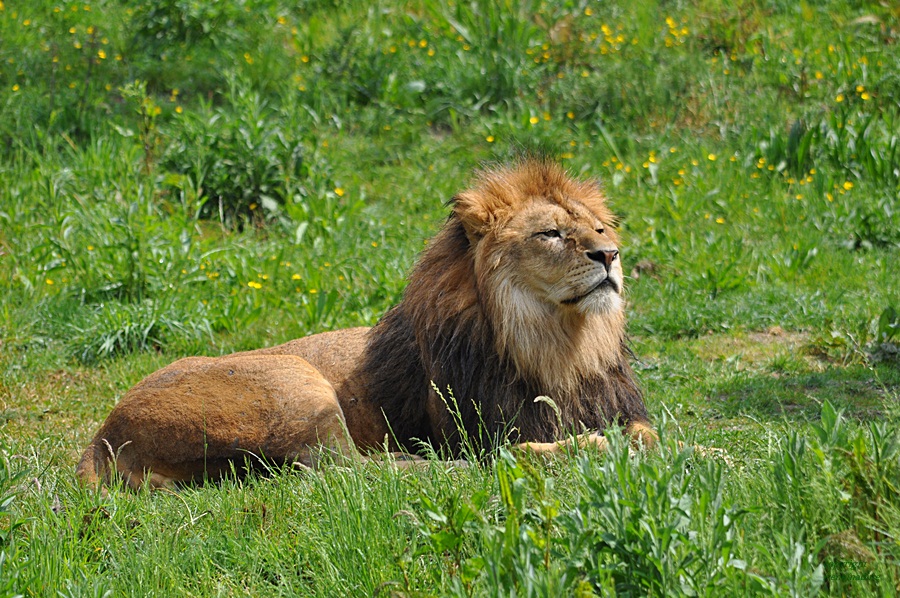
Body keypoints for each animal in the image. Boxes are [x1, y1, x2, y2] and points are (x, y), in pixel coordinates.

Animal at [75, 159, 652, 492]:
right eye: (550, 234)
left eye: (600, 228)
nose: (609, 255)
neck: (562, 345)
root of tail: (104, 434)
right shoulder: (480, 428)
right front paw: (606, 445)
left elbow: (653, 431)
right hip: (294, 380)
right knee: (351, 472)